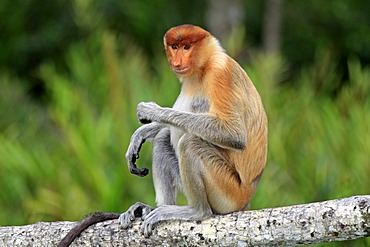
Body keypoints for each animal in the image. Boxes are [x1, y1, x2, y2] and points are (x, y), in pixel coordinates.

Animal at [57, 24, 268, 245]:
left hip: (228, 192)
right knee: (164, 139)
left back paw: (196, 211)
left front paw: (152, 111)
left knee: (189, 142)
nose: (177, 61)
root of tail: (247, 197)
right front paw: (141, 134)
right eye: (174, 47)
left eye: (187, 47)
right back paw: (150, 208)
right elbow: (164, 132)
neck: (205, 66)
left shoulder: (220, 73)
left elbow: (234, 134)